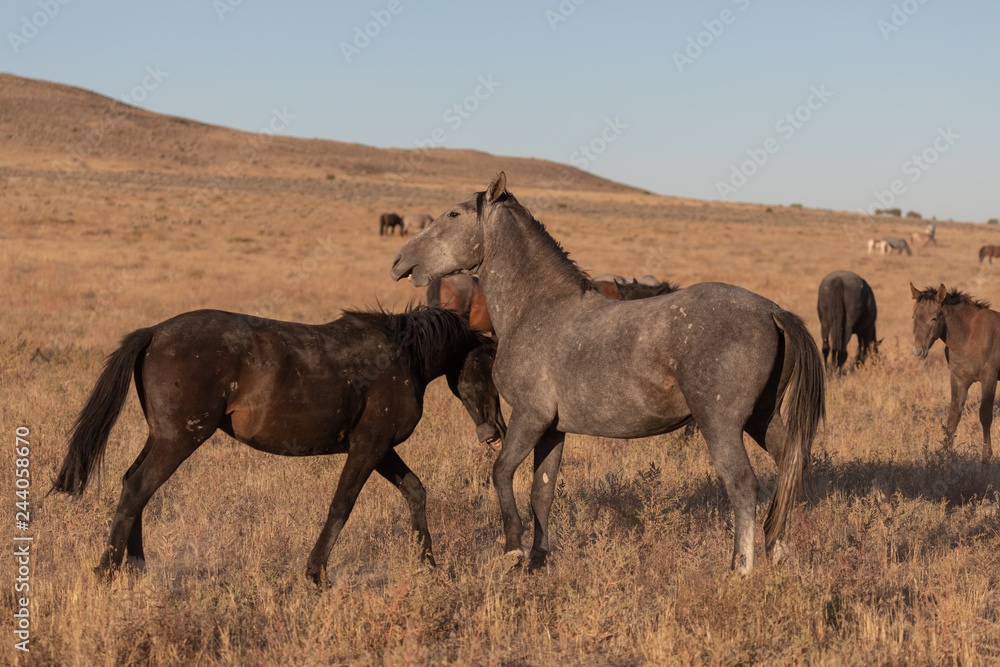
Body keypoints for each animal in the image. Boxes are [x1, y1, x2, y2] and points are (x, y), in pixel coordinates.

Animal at [50, 306, 506, 585]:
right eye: (491, 368)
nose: (495, 431)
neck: (403, 358)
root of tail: (154, 333)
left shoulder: (379, 450)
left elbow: (415, 491)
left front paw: (429, 565)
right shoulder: (369, 447)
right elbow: (341, 506)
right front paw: (316, 573)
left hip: (162, 438)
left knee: (134, 486)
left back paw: (137, 566)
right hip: (179, 439)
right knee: (136, 488)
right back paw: (108, 570)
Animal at [391, 172, 825, 575]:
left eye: (453, 214)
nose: (398, 261)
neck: (536, 310)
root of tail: (771, 310)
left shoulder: (529, 417)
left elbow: (501, 472)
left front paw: (513, 549)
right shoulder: (552, 429)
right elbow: (541, 492)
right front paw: (538, 560)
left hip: (721, 425)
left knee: (743, 486)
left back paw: (741, 569)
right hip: (762, 418)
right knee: (790, 466)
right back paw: (779, 551)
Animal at [911, 283, 999, 464]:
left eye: (934, 318)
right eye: (913, 317)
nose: (917, 351)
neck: (969, 336)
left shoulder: (989, 378)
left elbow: (985, 415)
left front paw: (986, 457)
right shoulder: (959, 380)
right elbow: (953, 416)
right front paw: (945, 455)